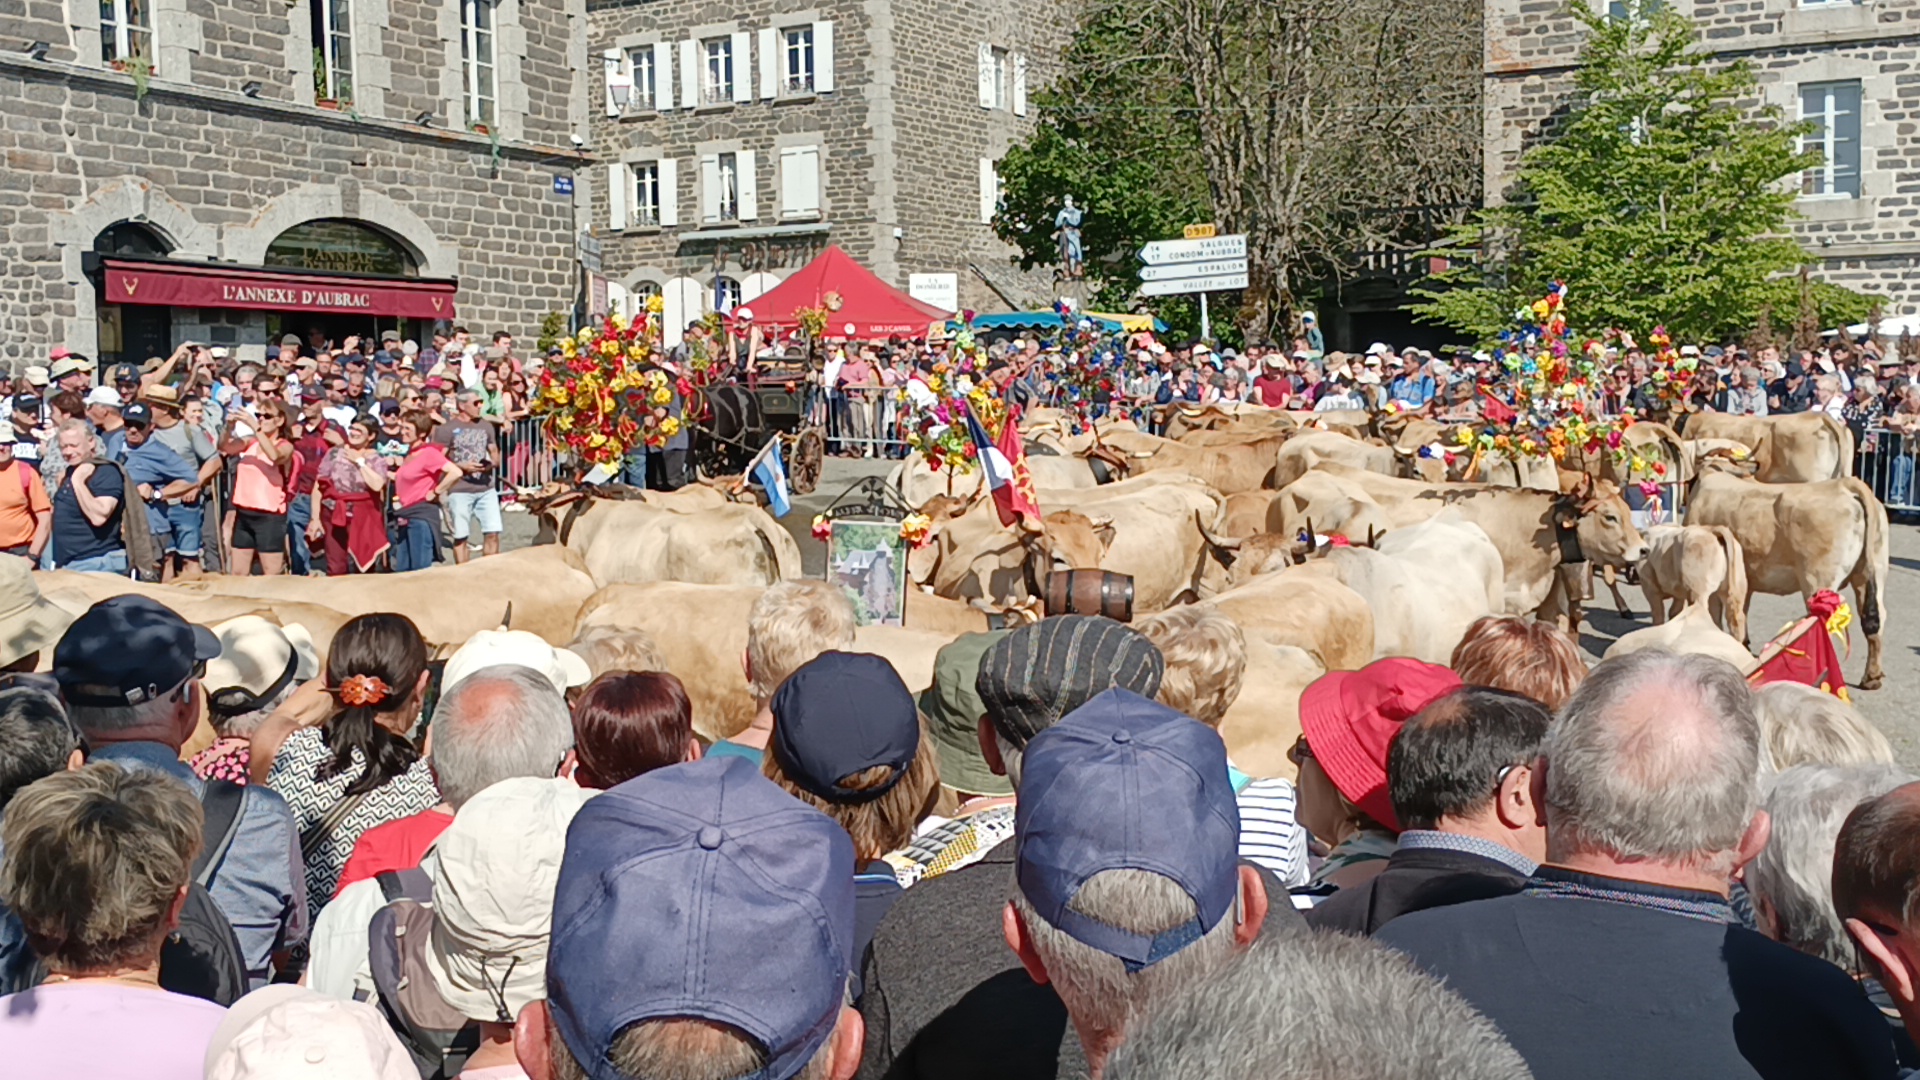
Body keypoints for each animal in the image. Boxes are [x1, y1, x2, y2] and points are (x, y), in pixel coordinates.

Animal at [1689, 472, 1881, 687]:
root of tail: (1844, 484)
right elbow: (1740, 615)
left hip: (1818, 580)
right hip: (1869, 574)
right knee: (1874, 622)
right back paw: (1872, 677)